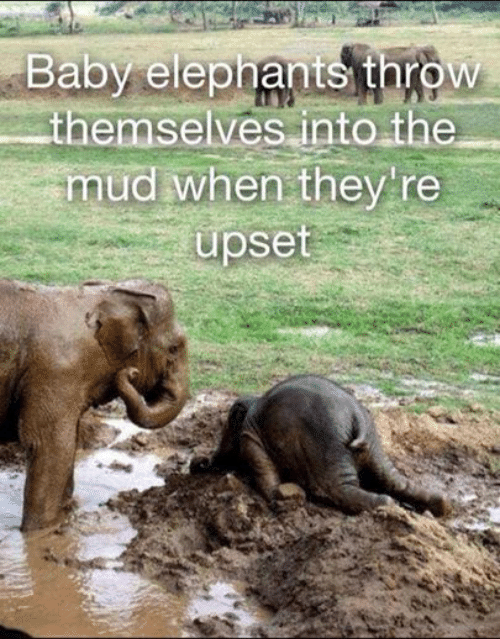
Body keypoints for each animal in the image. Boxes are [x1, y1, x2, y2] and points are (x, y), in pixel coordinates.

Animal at [0, 278, 189, 532]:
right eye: (174, 349)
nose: (131, 373)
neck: (102, 296)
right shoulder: (55, 373)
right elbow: (50, 446)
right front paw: (41, 532)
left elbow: (70, 441)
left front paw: (68, 513)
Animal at [190, 372, 450, 516]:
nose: (198, 463)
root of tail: (357, 415)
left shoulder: (250, 438)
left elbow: (263, 469)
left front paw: (278, 499)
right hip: (371, 443)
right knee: (393, 480)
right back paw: (438, 506)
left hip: (327, 445)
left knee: (337, 488)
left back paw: (389, 506)